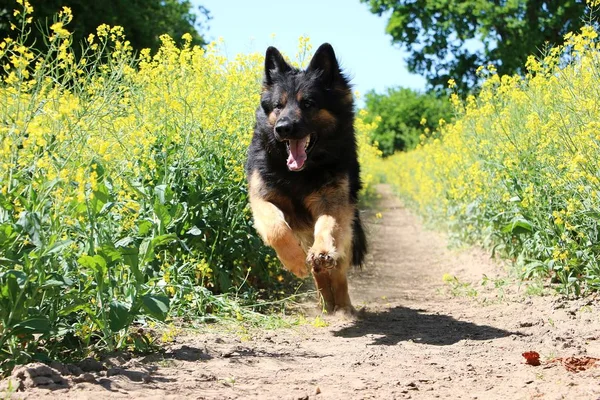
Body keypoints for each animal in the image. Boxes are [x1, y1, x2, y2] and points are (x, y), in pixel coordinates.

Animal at [244, 41, 366, 316]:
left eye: (308, 103)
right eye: (278, 105)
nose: (282, 128)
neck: (299, 173)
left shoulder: (333, 202)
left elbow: (327, 227)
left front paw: (322, 251)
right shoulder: (262, 199)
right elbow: (276, 229)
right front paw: (295, 262)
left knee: (338, 269)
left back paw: (341, 305)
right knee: (318, 273)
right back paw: (324, 302)